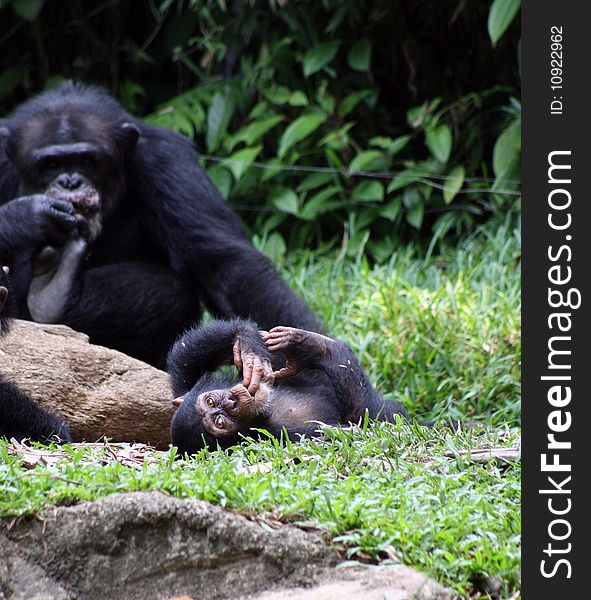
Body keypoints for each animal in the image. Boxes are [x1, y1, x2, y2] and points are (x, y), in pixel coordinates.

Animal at [0, 82, 320, 368]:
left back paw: (53, 292)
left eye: (88, 160)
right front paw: (27, 215)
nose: (70, 181)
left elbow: (223, 264)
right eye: (50, 164)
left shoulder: (167, 160)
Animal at [169, 318, 414, 454]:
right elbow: (364, 424)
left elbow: (183, 356)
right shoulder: (290, 437)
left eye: (210, 401)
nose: (231, 402)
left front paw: (248, 345)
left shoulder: (184, 386)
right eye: (220, 423)